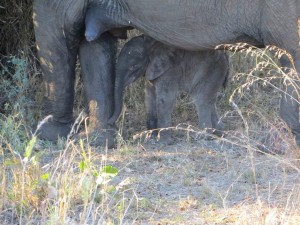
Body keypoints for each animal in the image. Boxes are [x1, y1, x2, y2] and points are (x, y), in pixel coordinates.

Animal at [84, 0, 300, 146]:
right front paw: (152, 134)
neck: (152, 47)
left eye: (133, 67)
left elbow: (164, 98)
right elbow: (149, 96)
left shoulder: (168, 72)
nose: (111, 121)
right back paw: (217, 133)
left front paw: (162, 140)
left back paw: (206, 135)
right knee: (209, 99)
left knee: (203, 99)